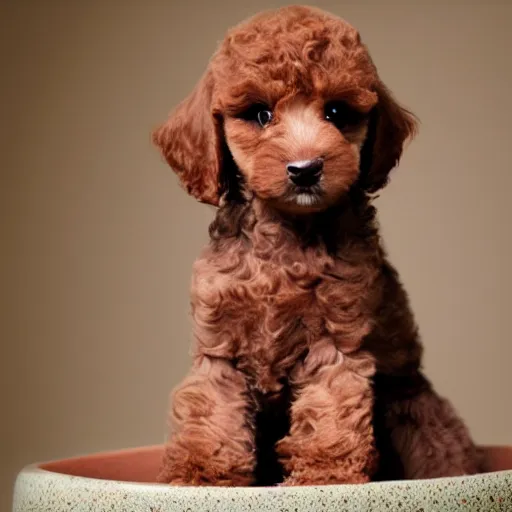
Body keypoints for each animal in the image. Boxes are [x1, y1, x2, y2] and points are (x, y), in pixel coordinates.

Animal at [151, 6, 480, 486]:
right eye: (261, 114)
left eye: (337, 112)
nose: (305, 169)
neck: (285, 240)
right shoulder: (219, 348)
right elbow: (211, 416)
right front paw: (199, 478)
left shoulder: (335, 342)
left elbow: (330, 416)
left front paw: (325, 478)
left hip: (416, 405)